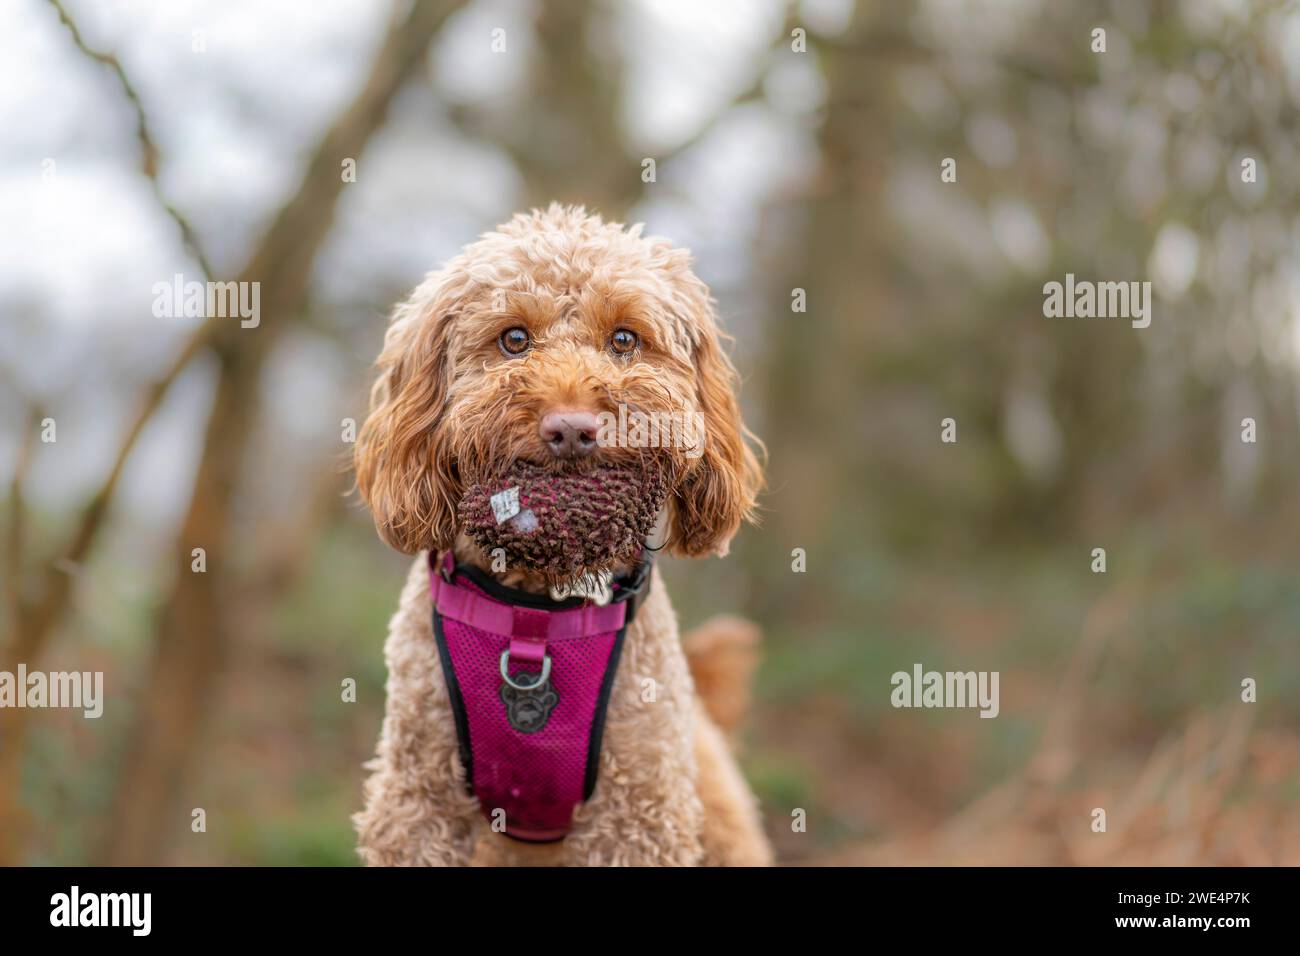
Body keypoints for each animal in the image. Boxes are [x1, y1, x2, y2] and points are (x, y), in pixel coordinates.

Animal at [351, 204, 769, 868]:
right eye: (513, 339)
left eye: (624, 339)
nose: (572, 428)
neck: (538, 612)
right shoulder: (418, 799)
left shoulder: (638, 811)